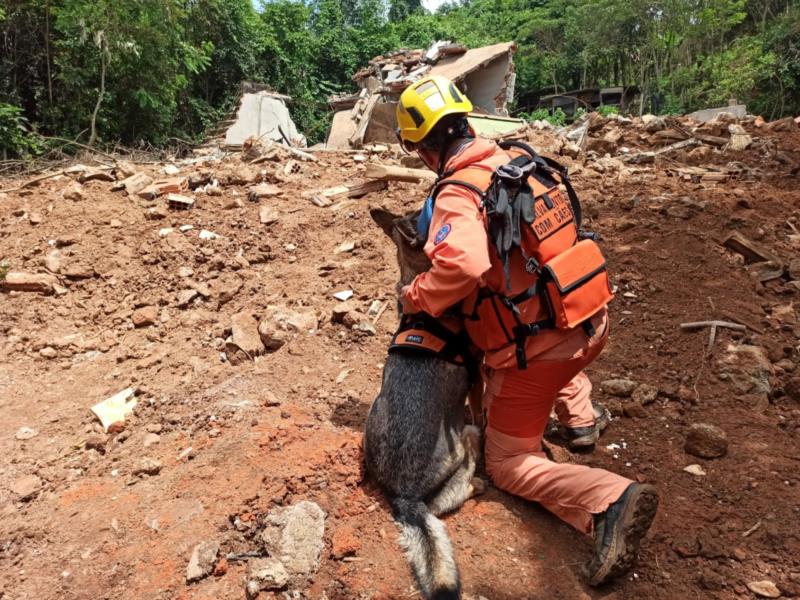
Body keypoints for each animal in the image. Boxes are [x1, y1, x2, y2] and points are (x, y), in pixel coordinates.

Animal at [366, 209, 484, 600]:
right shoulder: (478, 374)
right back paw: (478, 484)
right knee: (447, 499)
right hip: (465, 438)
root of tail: (404, 496)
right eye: (424, 214)